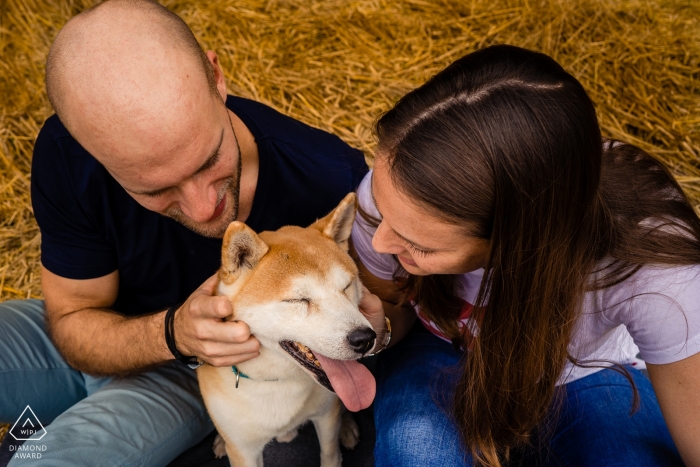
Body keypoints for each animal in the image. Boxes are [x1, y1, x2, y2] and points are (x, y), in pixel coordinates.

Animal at [197, 194, 378, 467]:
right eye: (298, 300)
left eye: (347, 286)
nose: (365, 339)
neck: (276, 381)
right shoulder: (244, 451)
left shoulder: (327, 418)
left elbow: (330, 454)